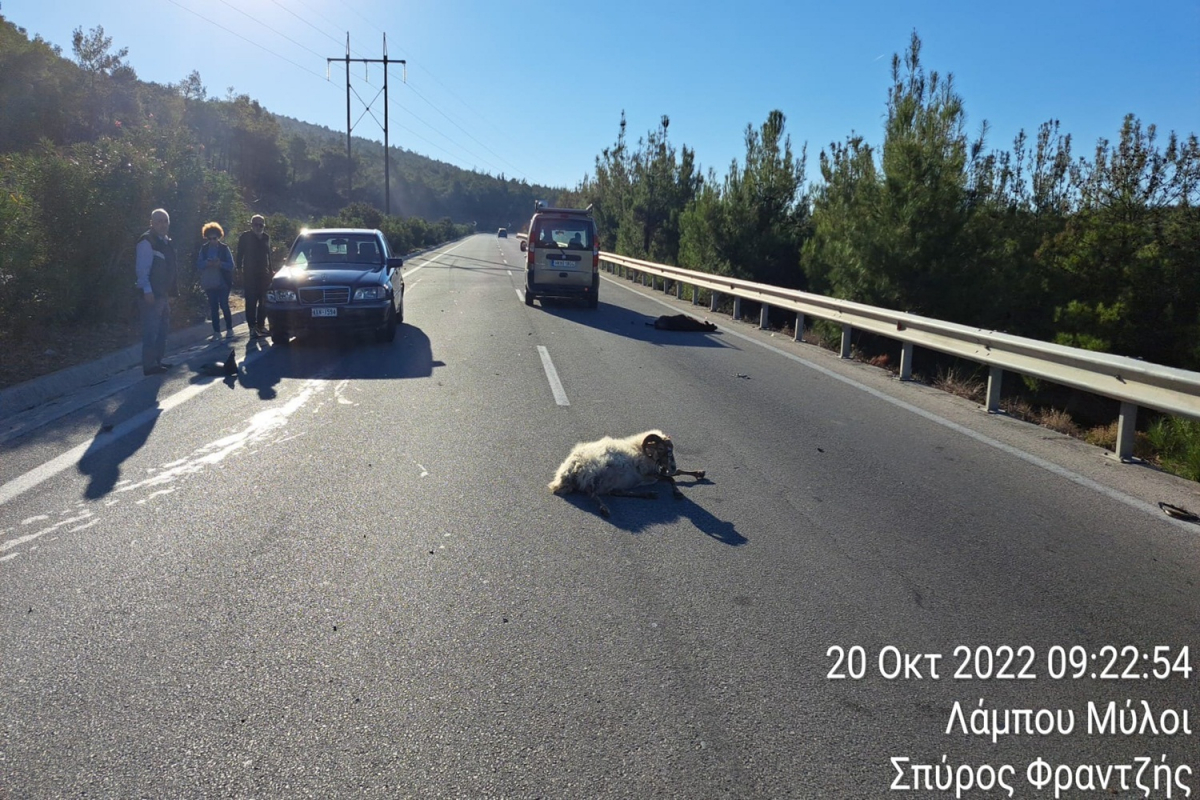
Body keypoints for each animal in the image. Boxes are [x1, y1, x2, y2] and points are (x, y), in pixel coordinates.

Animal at [549, 431, 705, 520]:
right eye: (661, 448)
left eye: (671, 449)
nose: (672, 466)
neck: (640, 450)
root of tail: (567, 472)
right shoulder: (649, 472)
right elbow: (671, 478)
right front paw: (678, 493)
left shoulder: (655, 472)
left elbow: (675, 474)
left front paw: (699, 473)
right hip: (593, 474)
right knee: (591, 492)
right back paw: (604, 509)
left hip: (607, 482)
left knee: (615, 492)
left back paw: (649, 494)